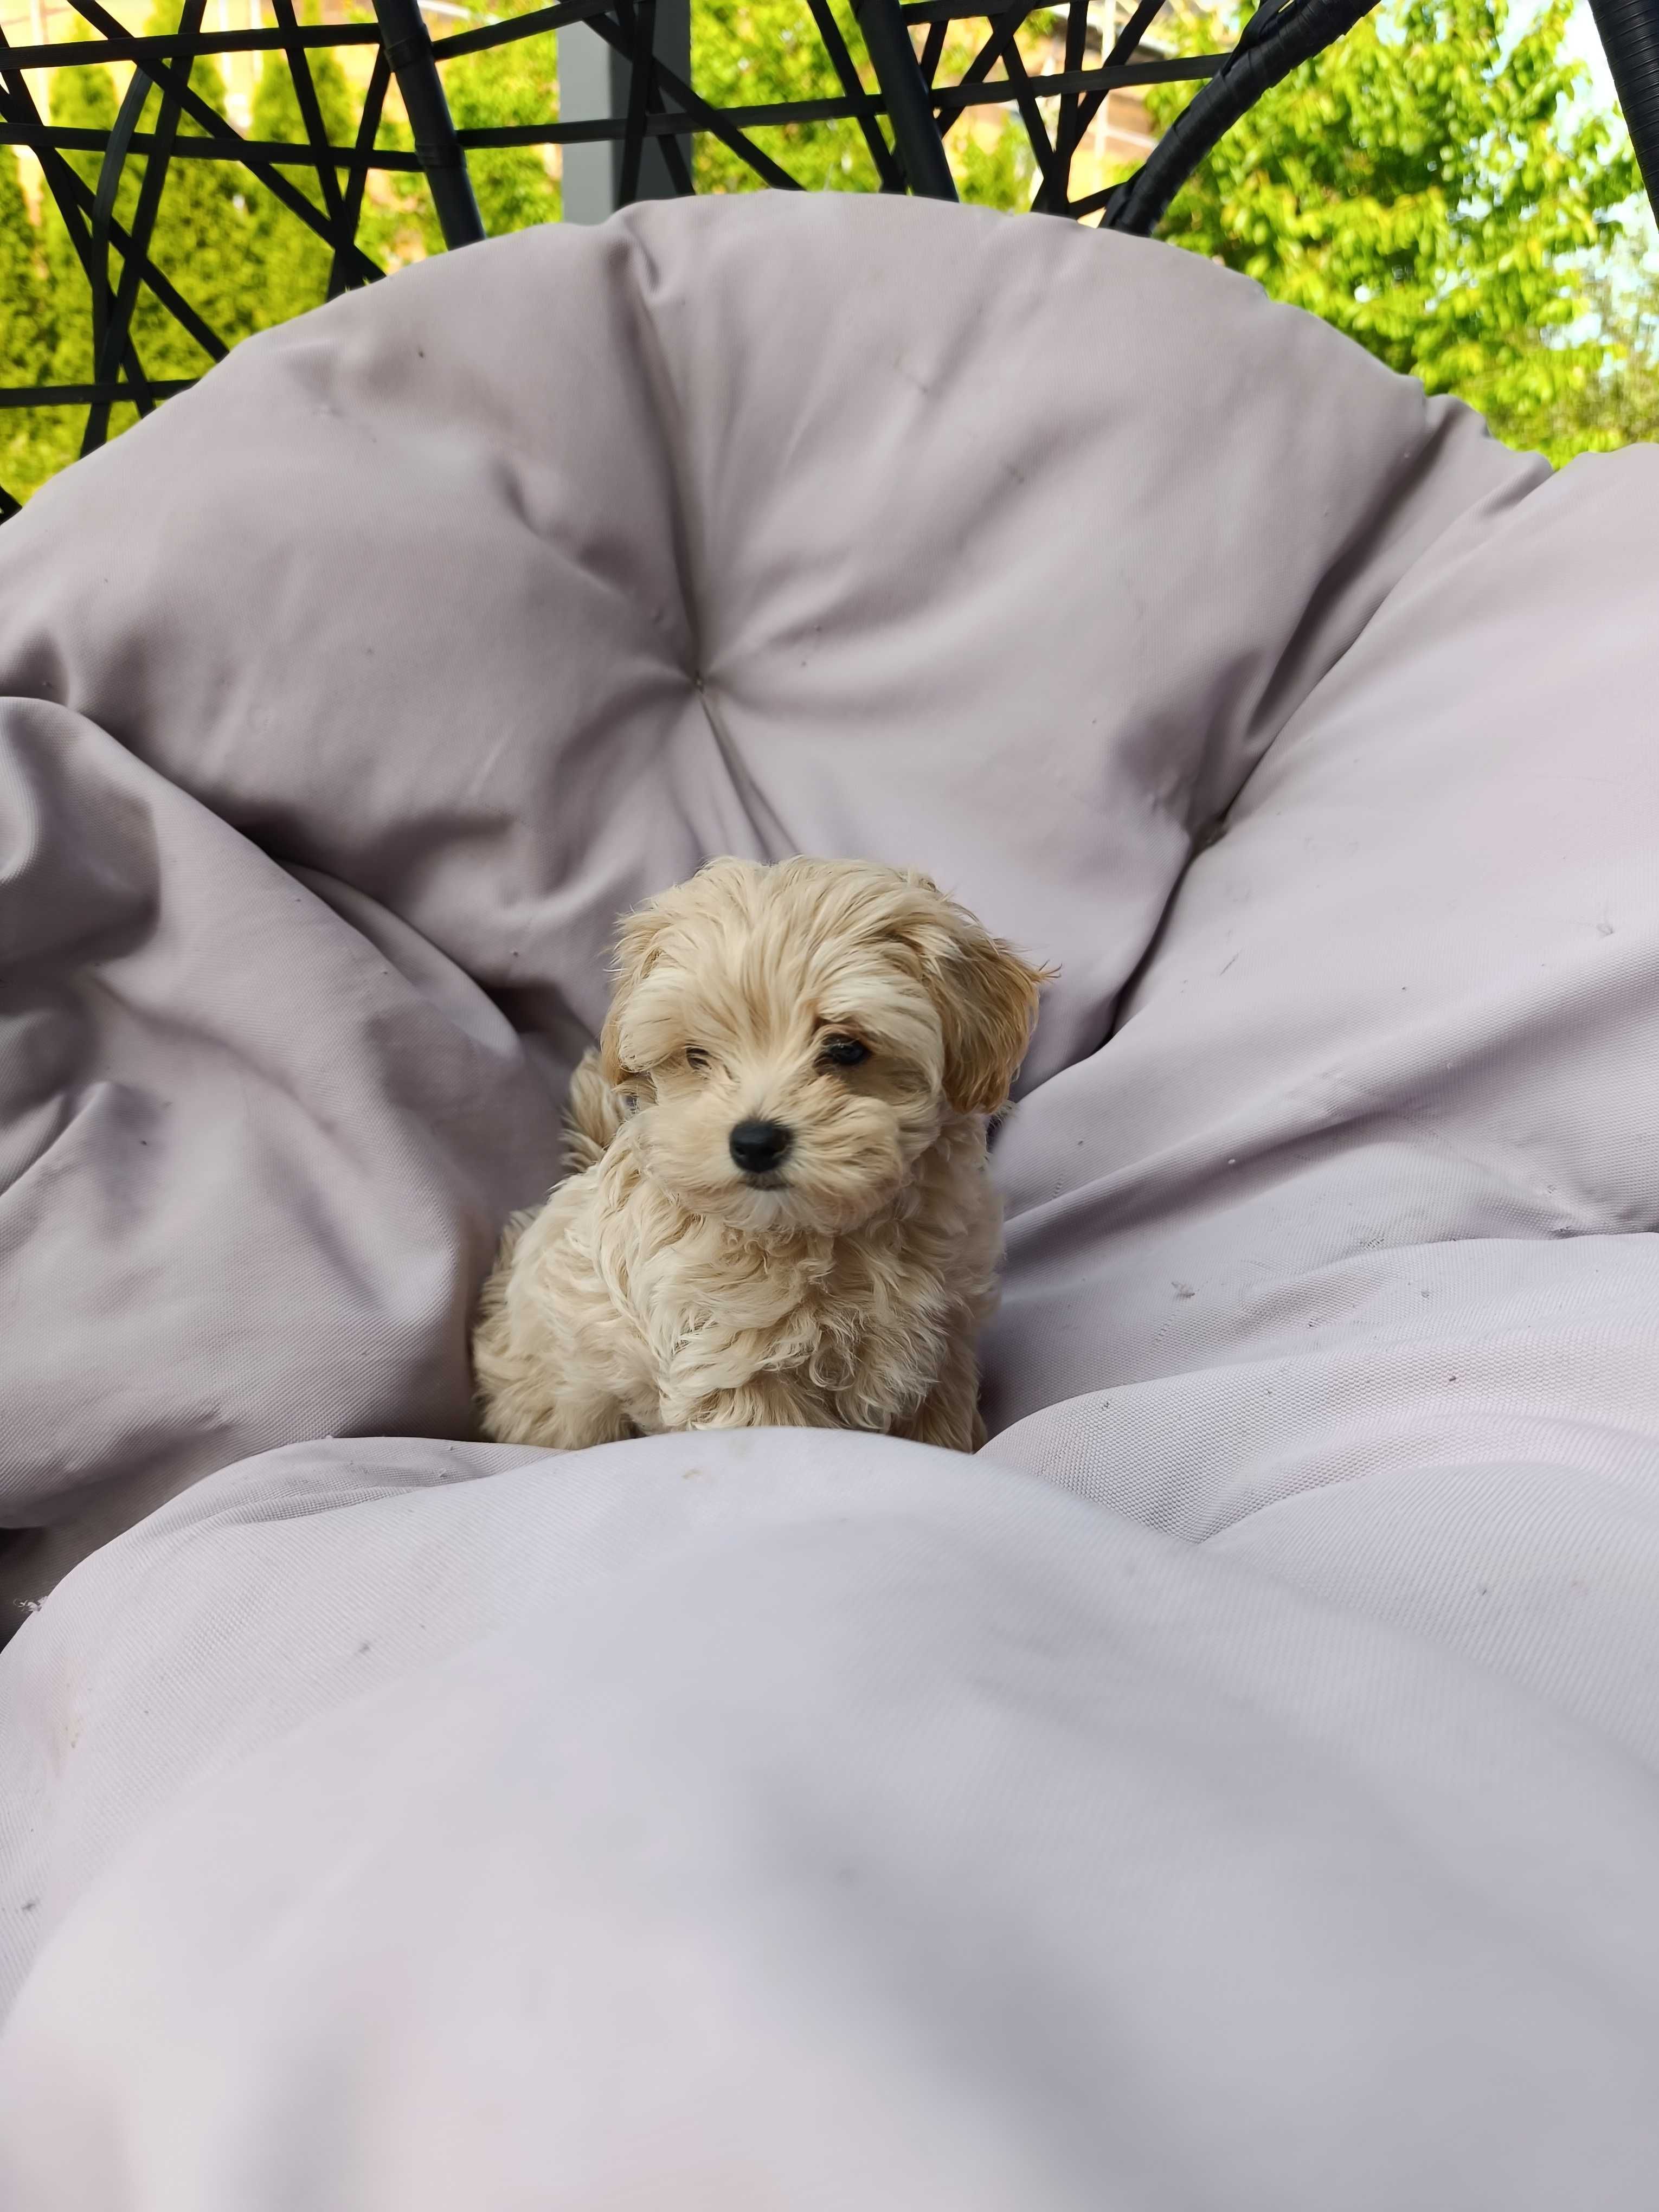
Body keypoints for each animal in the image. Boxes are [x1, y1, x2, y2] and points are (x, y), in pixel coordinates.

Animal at [473, 858, 1044, 1451]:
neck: (823, 1234)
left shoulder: (942, 1339)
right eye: (697, 1056)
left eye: (846, 1049)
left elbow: (940, 1425)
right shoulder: (729, 1363)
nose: (754, 1143)